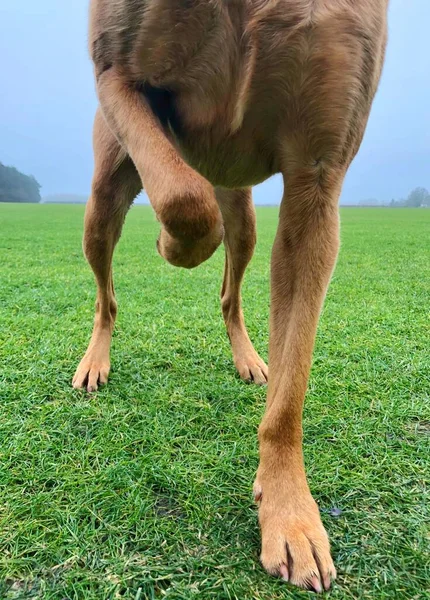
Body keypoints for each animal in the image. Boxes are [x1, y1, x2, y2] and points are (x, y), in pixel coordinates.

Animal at [74, 0, 390, 592]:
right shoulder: (116, 73)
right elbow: (183, 200)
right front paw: (168, 243)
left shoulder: (318, 174)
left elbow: (290, 392)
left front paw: (290, 517)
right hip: (104, 194)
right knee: (110, 297)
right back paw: (95, 360)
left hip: (243, 215)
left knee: (229, 290)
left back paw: (248, 359)